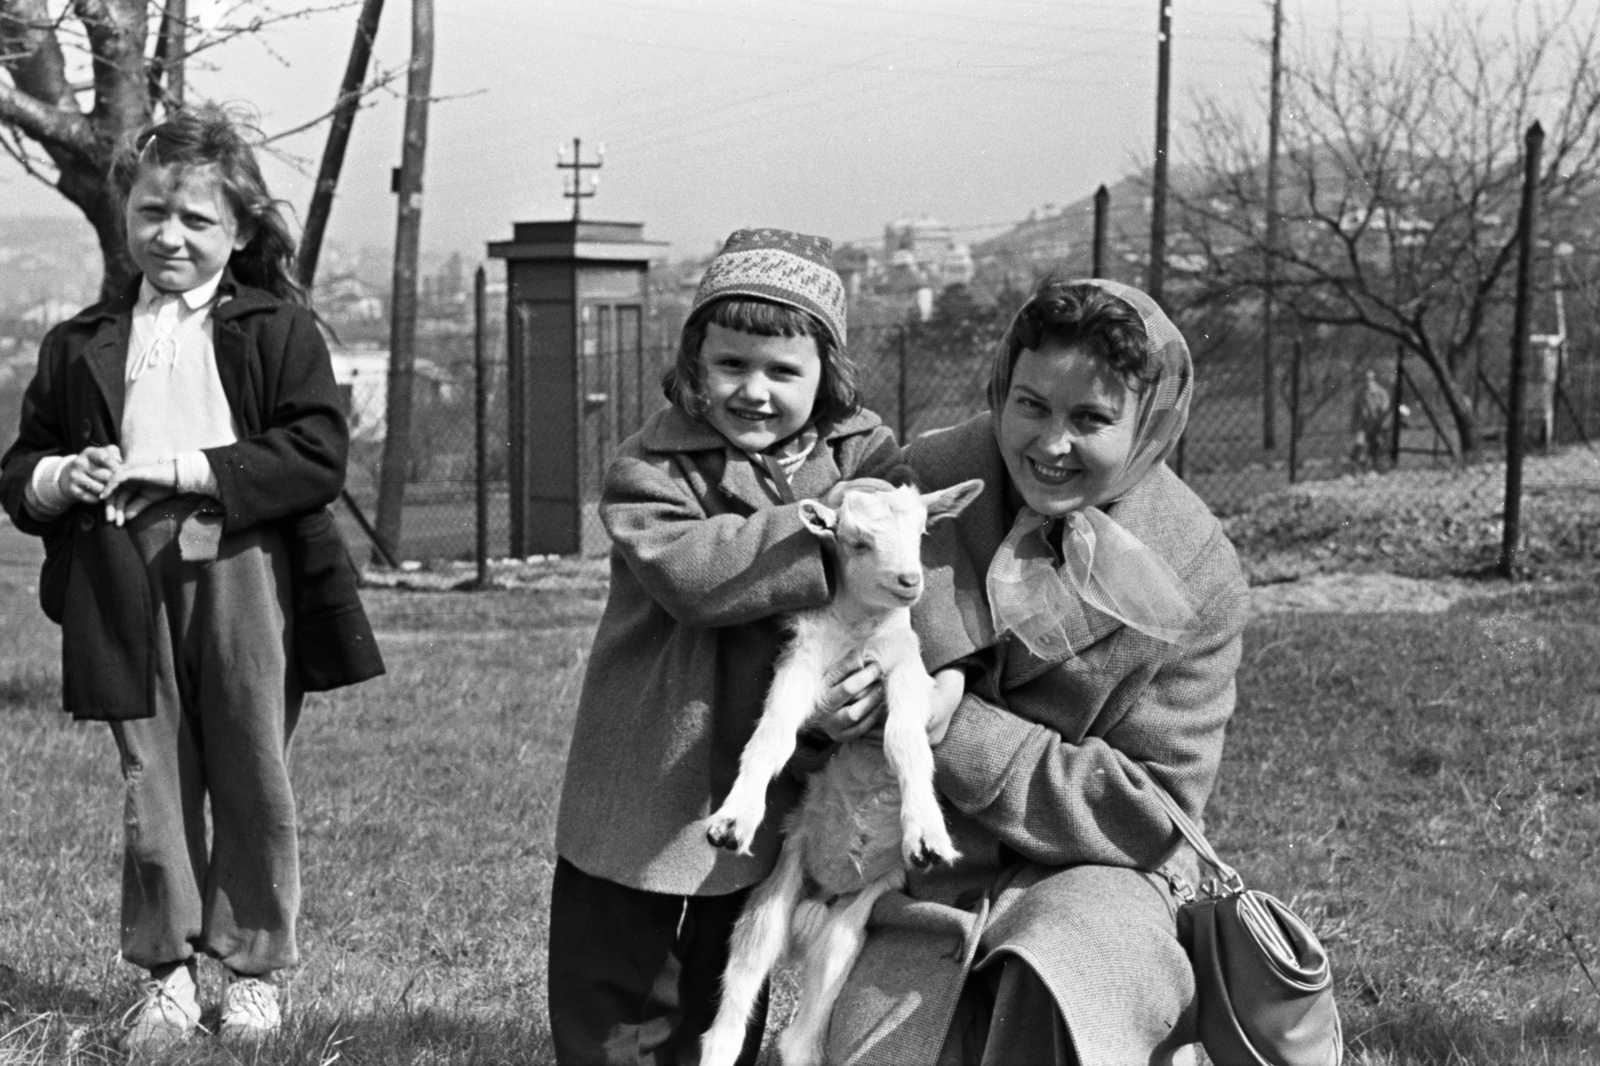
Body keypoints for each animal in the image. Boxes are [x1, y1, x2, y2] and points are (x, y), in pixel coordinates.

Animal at [704, 476, 985, 1062]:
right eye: (856, 541)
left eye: (921, 532)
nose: (909, 581)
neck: (859, 634)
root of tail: (818, 901)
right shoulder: (803, 662)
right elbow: (773, 734)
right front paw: (733, 821)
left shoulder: (906, 668)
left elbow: (905, 741)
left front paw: (926, 838)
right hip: (772, 900)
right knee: (731, 1016)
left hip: (848, 925)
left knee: (802, 1033)